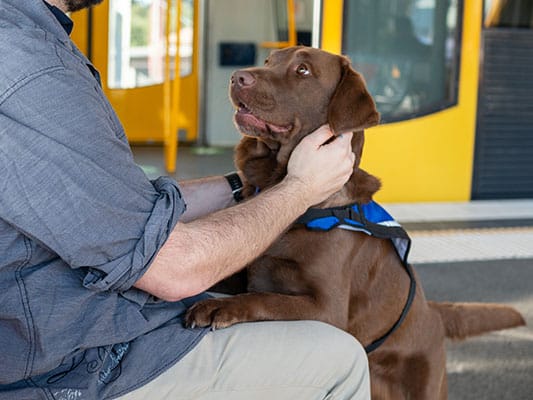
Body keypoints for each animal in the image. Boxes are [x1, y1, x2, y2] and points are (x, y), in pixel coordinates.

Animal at [186, 47, 524, 400]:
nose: (237, 77)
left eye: (303, 70)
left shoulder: (327, 309)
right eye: (268, 62)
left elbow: (265, 298)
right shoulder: (244, 273)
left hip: (426, 381)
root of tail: (433, 312)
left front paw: (219, 308)